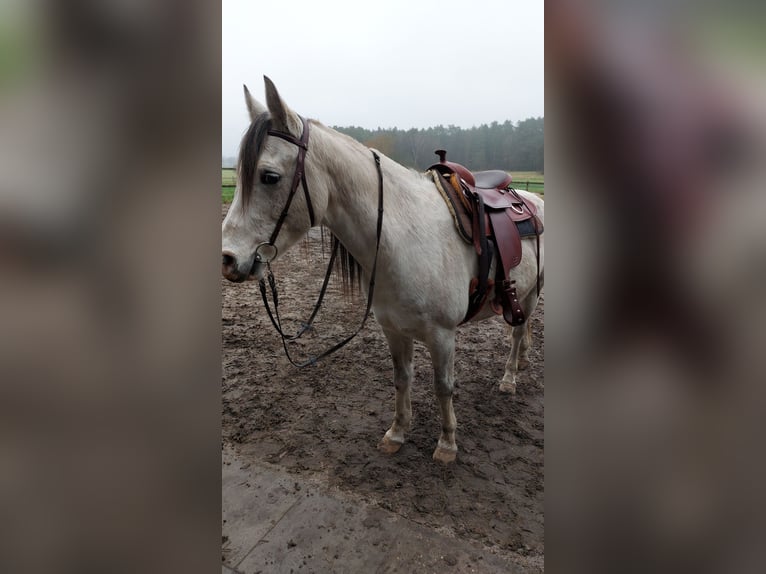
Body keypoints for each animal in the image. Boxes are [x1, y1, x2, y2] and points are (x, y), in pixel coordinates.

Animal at [222, 76, 544, 466]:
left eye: (269, 177)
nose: (227, 258)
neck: (405, 240)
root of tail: (532, 199)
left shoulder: (442, 335)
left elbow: (443, 386)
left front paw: (447, 443)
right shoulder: (393, 329)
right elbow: (401, 378)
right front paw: (397, 433)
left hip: (531, 293)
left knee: (517, 333)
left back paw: (510, 377)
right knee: (522, 330)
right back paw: (522, 363)